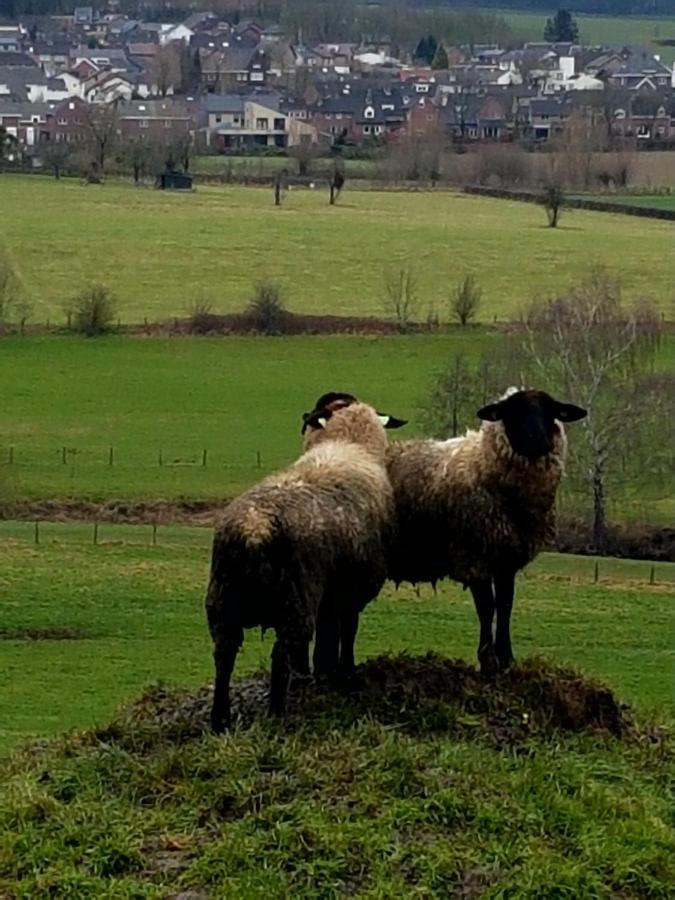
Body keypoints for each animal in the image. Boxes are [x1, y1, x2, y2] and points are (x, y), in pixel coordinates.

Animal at [205, 392, 406, 732]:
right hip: (295, 600)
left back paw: (220, 720)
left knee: (224, 654)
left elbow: (328, 632)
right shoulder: (352, 592)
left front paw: (321, 672)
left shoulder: (331, 594)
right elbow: (346, 631)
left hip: (223, 600)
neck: (349, 444)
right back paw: (276, 713)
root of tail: (255, 529)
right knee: (281, 654)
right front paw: (344, 673)